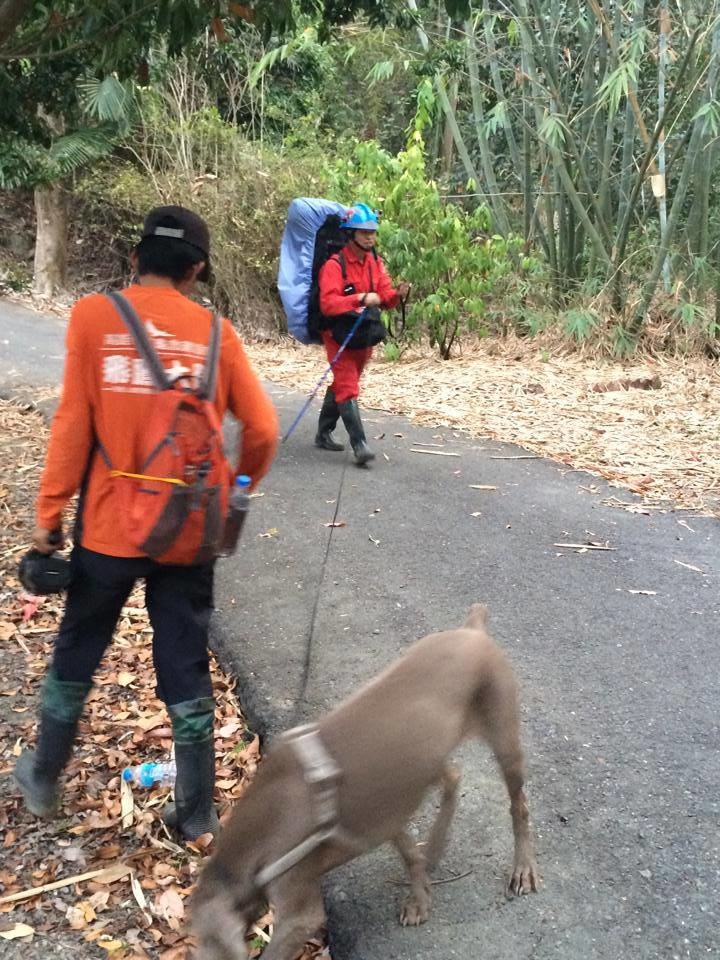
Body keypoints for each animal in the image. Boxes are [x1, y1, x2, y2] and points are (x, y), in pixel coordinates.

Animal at [193, 604, 540, 956]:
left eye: (207, 942)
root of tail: (473, 629)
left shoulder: (300, 908)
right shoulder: (385, 814)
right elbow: (409, 854)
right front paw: (420, 898)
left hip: (503, 734)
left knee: (519, 805)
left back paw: (522, 869)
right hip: (427, 759)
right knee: (454, 776)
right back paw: (436, 847)